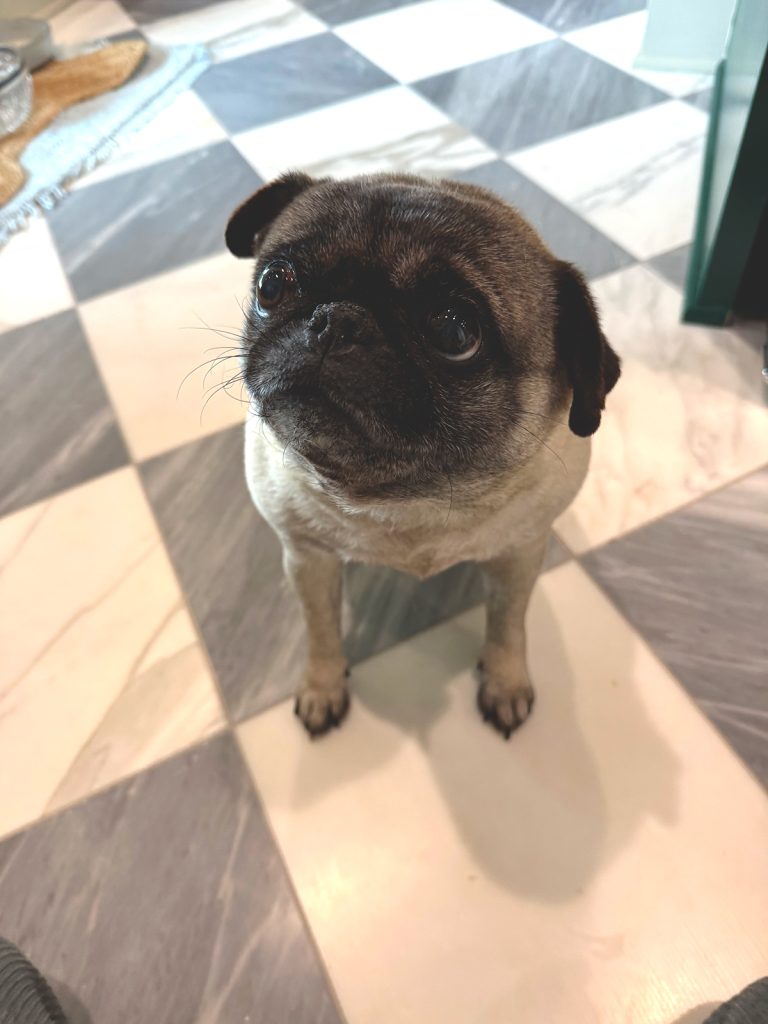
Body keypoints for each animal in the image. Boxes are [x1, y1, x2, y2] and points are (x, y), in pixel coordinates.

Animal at [225, 172, 620, 739]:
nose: (335, 320)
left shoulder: (520, 554)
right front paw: (323, 685)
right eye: (272, 285)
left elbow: (509, 623)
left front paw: (506, 681)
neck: (410, 500)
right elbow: (320, 629)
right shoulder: (307, 558)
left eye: (455, 331)